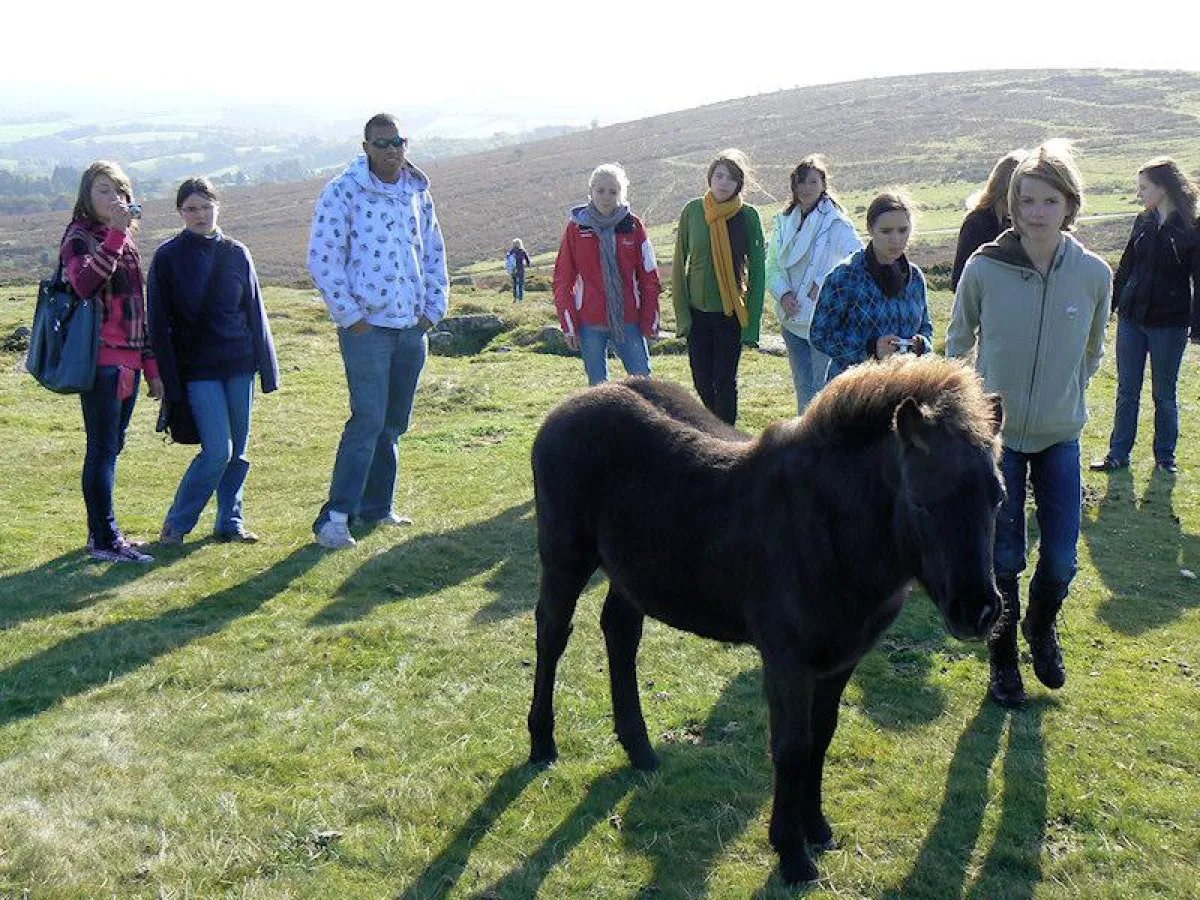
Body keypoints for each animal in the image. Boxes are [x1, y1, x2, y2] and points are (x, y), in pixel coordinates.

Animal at [526, 356, 1005, 884]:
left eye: (999, 497)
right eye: (921, 500)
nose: (979, 610)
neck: (831, 532)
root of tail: (567, 407)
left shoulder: (841, 660)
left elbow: (822, 737)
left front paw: (817, 827)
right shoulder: (786, 660)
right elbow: (792, 747)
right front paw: (791, 852)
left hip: (632, 571)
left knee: (620, 633)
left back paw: (640, 748)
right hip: (565, 557)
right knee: (552, 633)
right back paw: (542, 741)